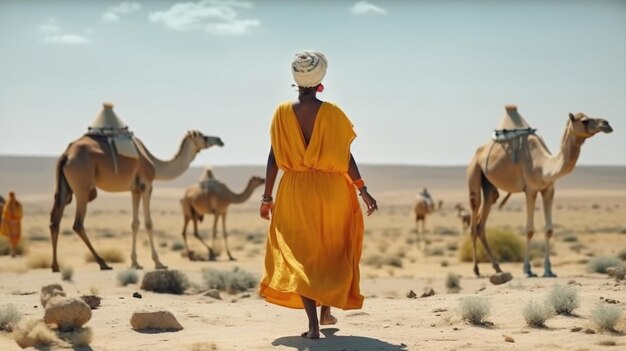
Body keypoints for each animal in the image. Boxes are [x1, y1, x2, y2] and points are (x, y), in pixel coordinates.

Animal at [49, 106, 224, 274]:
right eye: (203, 136)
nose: (220, 140)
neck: (155, 164)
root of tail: (66, 155)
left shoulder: (135, 189)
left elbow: (134, 223)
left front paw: (135, 263)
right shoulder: (146, 186)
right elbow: (148, 223)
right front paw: (159, 263)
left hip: (66, 188)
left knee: (54, 221)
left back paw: (56, 266)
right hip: (82, 188)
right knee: (78, 224)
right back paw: (103, 263)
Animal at [468, 106, 608, 280]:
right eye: (585, 121)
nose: (606, 124)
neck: (543, 166)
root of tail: (479, 152)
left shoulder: (548, 189)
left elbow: (549, 229)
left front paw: (549, 271)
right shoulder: (530, 190)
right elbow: (529, 230)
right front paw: (527, 270)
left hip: (489, 187)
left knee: (482, 221)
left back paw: (497, 267)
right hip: (474, 172)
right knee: (474, 219)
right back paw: (476, 270)